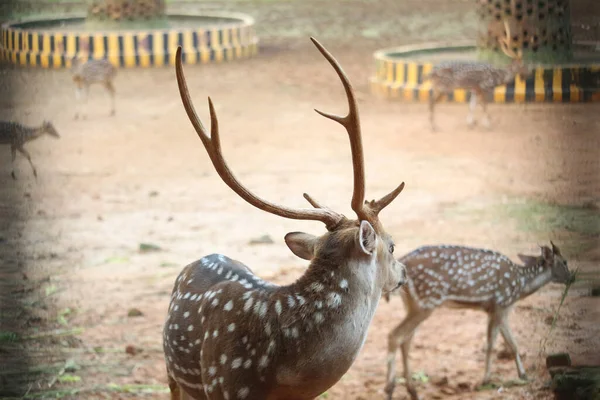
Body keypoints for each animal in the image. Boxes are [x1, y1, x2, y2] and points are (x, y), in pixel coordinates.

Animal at [382, 242, 576, 398]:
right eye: (565, 262)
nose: (572, 278)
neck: (520, 286)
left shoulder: (496, 310)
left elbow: (502, 343)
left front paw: (517, 375)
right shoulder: (501, 304)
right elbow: (501, 343)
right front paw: (493, 379)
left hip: (413, 304)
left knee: (406, 341)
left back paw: (412, 391)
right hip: (426, 301)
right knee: (395, 335)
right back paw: (390, 390)